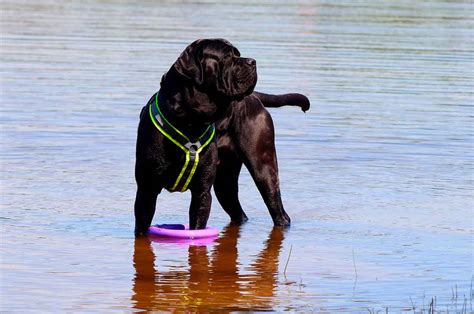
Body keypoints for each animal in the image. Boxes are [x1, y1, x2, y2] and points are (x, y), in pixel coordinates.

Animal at [134, 38, 312, 236]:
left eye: (238, 54)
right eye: (227, 56)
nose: (252, 61)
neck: (190, 121)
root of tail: (254, 97)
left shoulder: (202, 192)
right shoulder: (146, 190)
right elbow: (141, 229)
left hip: (263, 167)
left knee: (278, 209)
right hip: (225, 181)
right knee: (238, 211)